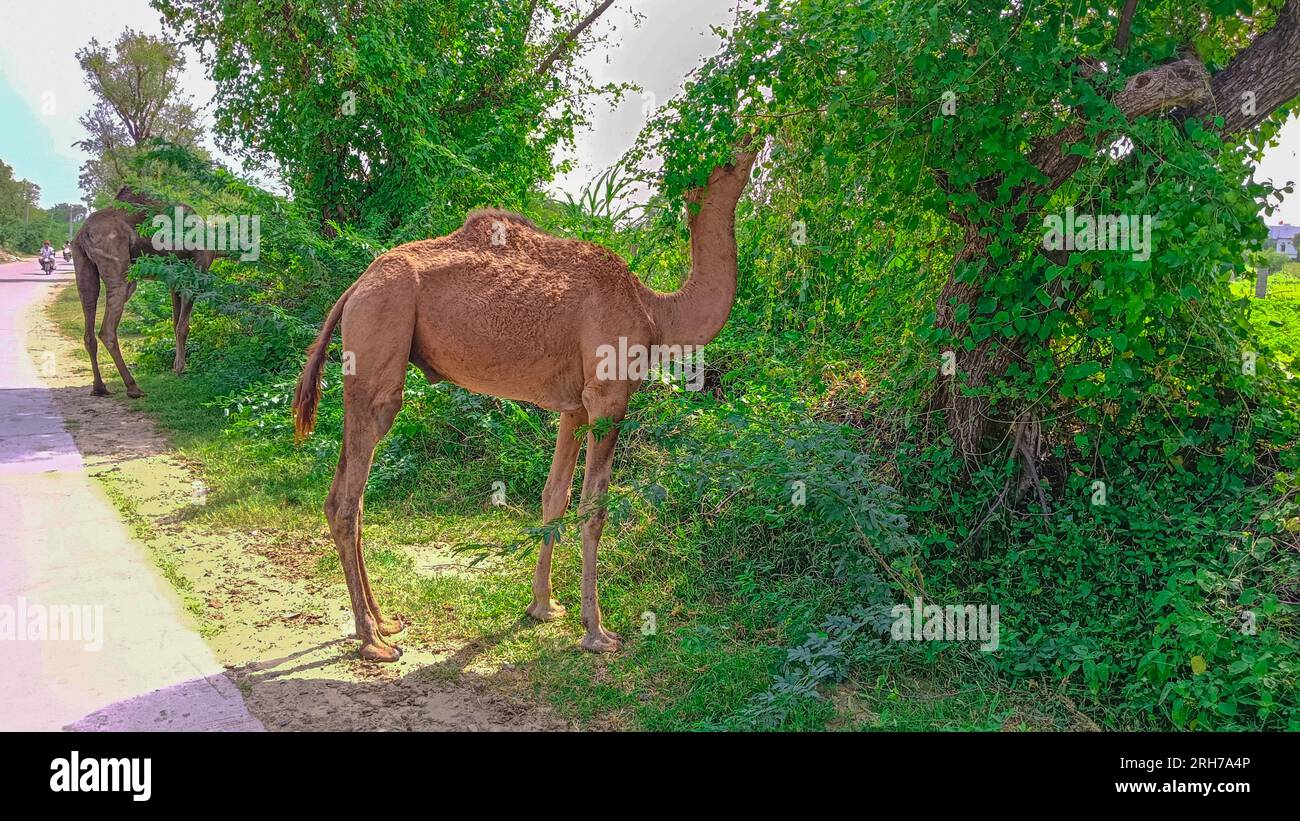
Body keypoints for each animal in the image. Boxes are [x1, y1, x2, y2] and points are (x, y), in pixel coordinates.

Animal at [72, 189, 213, 400]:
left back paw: (99, 388)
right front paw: (181, 368)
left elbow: (175, 322)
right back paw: (133, 387)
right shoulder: (196, 271)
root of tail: (83, 233)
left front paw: (175, 365)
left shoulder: (174, 279)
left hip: (82, 264)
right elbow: (183, 325)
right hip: (118, 266)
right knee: (107, 329)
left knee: (89, 321)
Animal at [292, 146, 759, 659]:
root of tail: (354, 288)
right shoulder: (608, 397)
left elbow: (555, 495)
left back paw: (385, 621)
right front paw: (597, 632)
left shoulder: (575, 406)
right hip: (381, 333)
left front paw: (543, 606)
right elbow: (594, 508)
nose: (754, 136)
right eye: (728, 159)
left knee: (349, 495)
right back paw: (372, 640)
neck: (657, 312)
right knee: (347, 498)